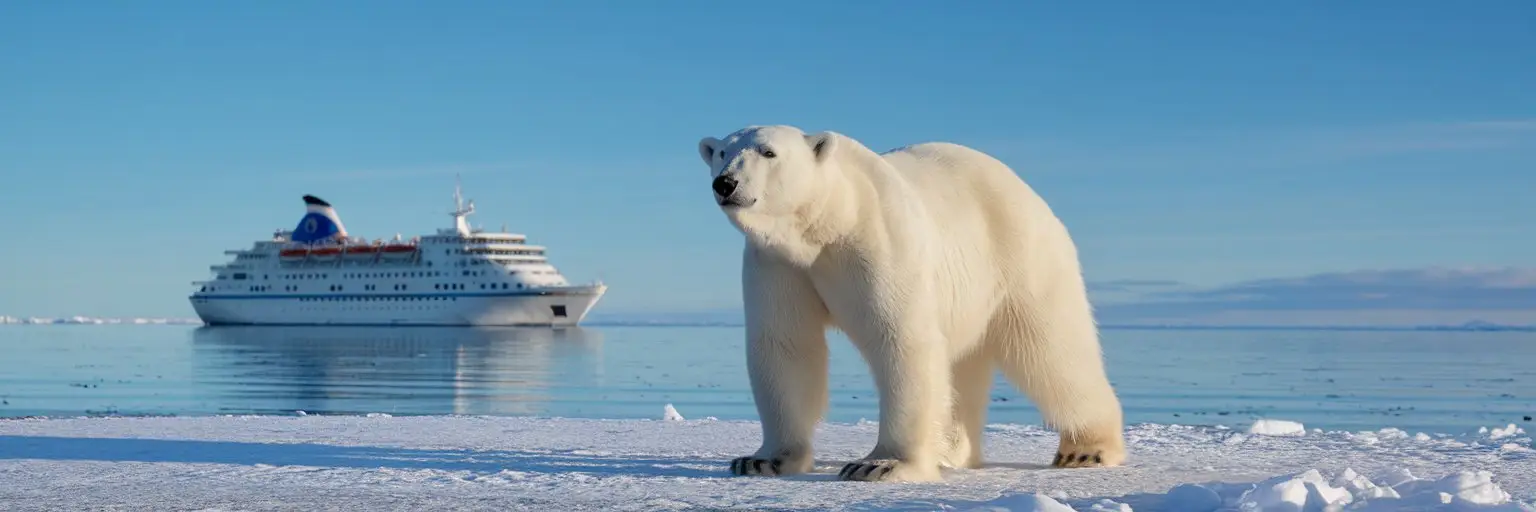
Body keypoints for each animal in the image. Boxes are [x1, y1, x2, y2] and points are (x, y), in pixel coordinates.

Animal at [700, 124, 1130, 482]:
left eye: (768, 151)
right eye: (721, 152)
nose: (726, 183)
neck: (828, 222)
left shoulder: (877, 241)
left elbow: (901, 340)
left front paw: (880, 464)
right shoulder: (779, 265)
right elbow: (786, 345)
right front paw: (761, 459)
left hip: (1020, 259)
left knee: (1050, 348)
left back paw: (1086, 449)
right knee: (963, 366)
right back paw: (950, 451)